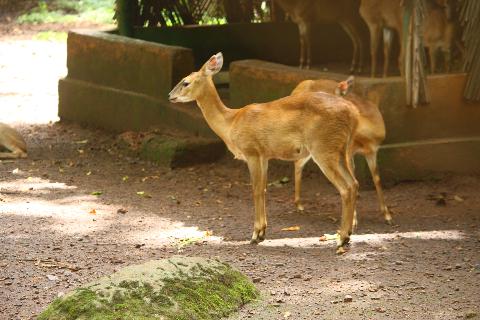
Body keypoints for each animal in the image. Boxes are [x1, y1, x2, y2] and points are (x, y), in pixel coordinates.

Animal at [169, 52, 360, 252]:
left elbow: (255, 189)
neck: (231, 122)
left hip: (323, 148)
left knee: (345, 187)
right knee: (354, 183)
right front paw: (262, 233)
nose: (169, 95)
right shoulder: (265, 155)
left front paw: (255, 235)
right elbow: (263, 188)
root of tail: (354, 114)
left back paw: (341, 239)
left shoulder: (251, 150)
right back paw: (347, 235)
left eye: (186, 82)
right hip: (342, 150)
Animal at [290, 75, 392, 225]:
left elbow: (377, 179)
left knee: (299, 162)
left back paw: (299, 204)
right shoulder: (348, 151)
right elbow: (354, 180)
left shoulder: (373, 151)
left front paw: (387, 216)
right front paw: (353, 219)